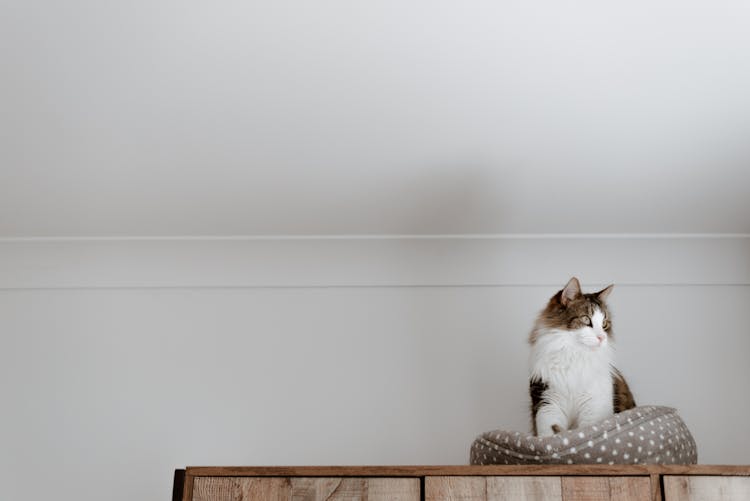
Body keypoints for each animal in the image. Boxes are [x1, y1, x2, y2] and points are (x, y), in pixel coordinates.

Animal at [528, 276, 636, 436]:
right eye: (586, 320)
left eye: (604, 324)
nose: (602, 338)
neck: (575, 356)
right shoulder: (548, 402)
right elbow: (550, 434)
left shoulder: (594, 405)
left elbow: (587, 430)